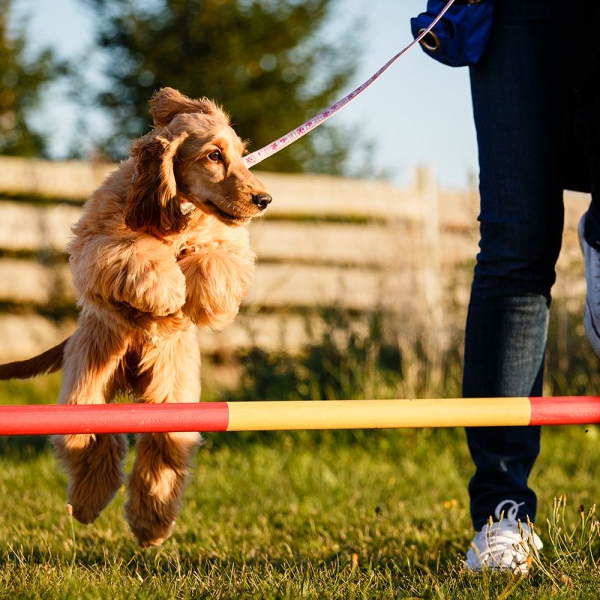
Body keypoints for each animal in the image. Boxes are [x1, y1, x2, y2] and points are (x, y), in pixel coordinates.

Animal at [0, 89, 272, 548]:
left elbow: (216, 261)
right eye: (214, 155)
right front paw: (167, 289)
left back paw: (151, 524)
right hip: (86, 391)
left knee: (162, 450)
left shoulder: (229, 248)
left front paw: (189, 292)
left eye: (241, 153)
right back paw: (89, 504)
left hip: (175, 402)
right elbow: (135, 252)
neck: (175, 208)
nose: (263, 199)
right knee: (94, 443)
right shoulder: (98, 242)